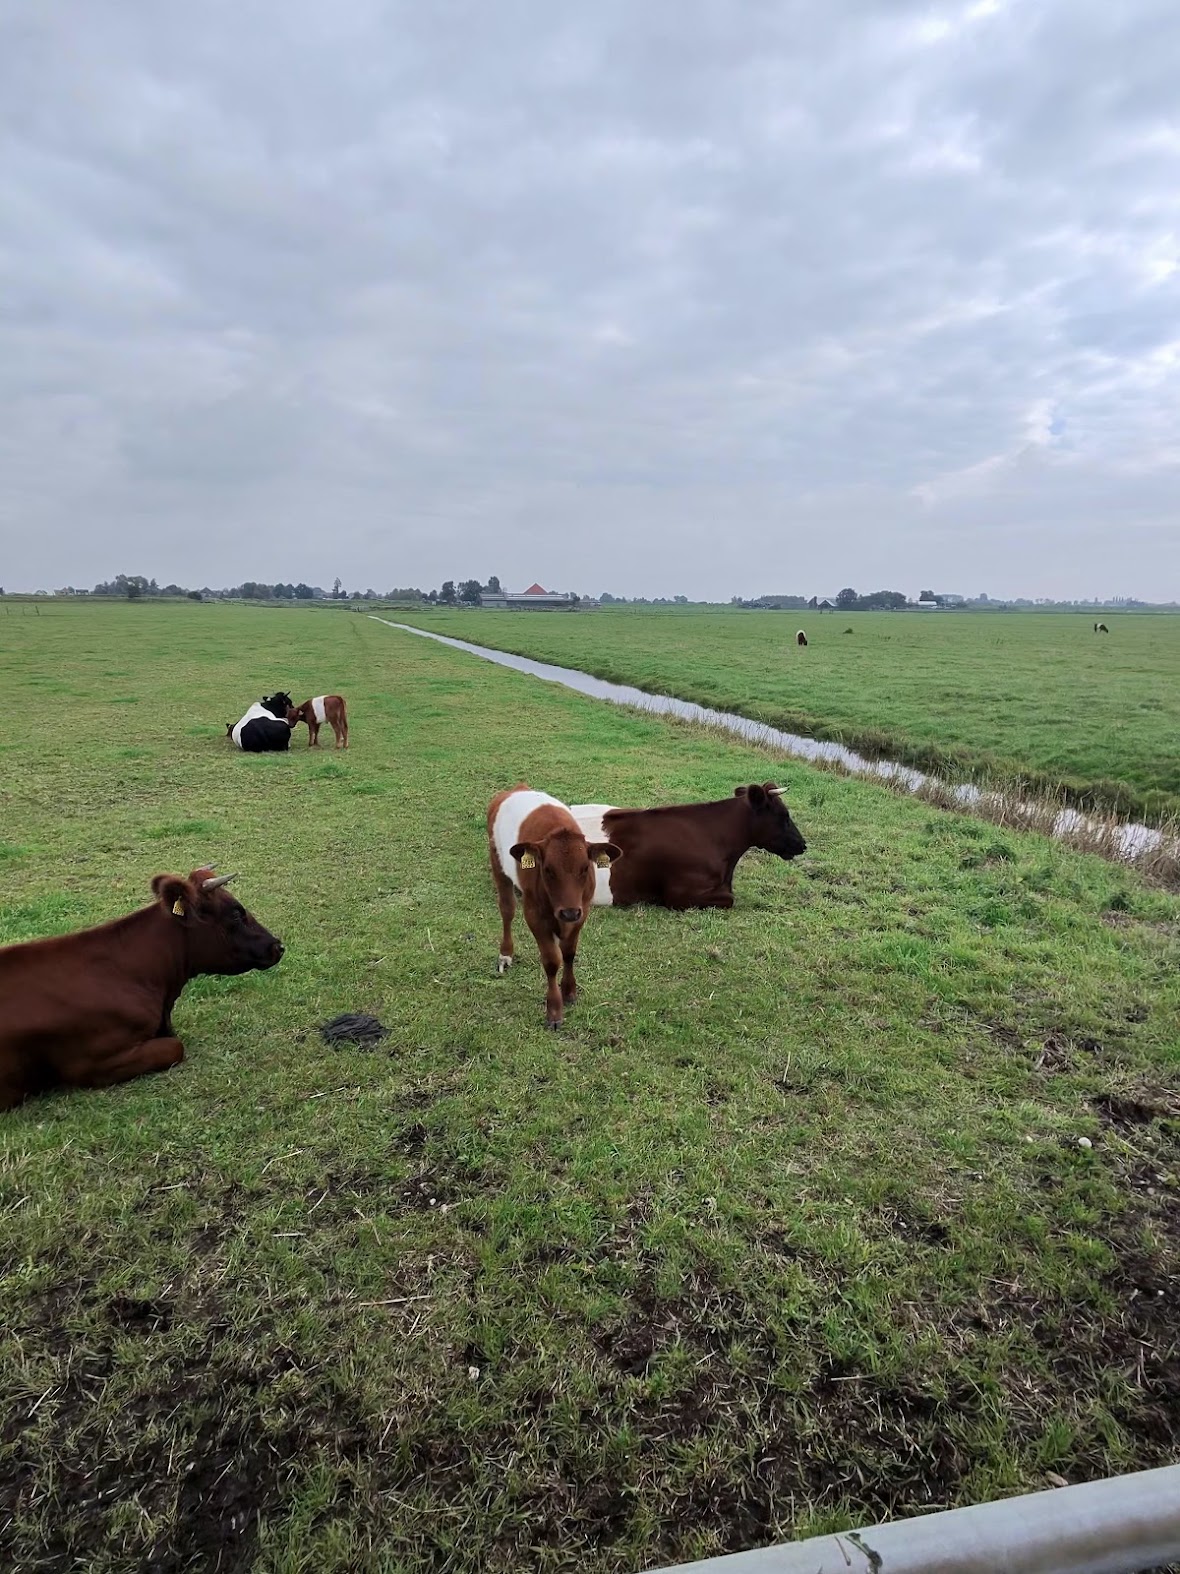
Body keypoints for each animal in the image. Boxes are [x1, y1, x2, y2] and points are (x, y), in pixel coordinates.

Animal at [487, 785, 621, 1028]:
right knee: (507, 909)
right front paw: (554, 1011)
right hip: (497, 862)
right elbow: (551, 960)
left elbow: (568, 953)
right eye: (548, 869)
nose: (568, 912)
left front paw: (569, 991)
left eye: (585, 868)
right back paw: (506, 954)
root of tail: (517, 788)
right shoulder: (534, 914)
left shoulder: (582, 910)